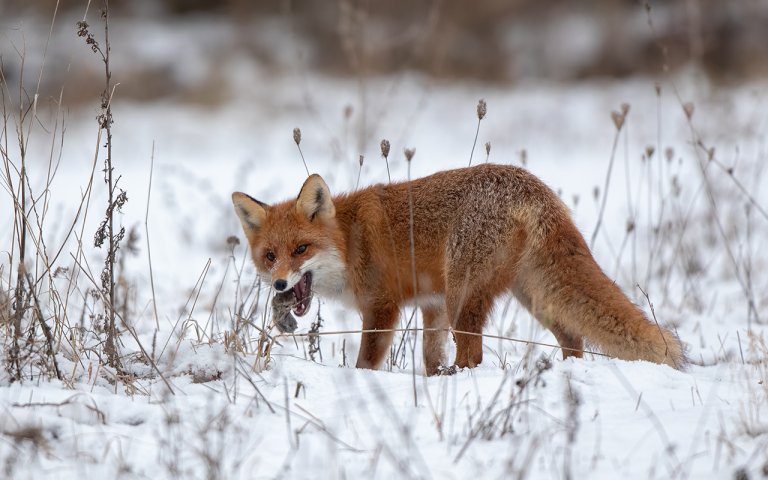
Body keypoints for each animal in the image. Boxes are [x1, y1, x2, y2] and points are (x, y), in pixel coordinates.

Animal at [232, 163, 685, 375]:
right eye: (270, 256)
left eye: (301, 249)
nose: (279, 284)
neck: (349, 240)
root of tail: (533, 186)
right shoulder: (432, 305)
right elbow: (430, 355)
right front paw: (433, 380)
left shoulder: (382, 307)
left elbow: (366, 362)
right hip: (531, 296)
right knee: (573, 339)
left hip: (464, 296)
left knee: (475, 355)